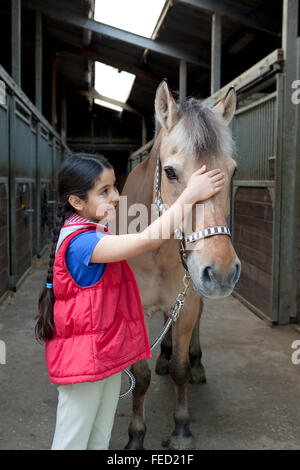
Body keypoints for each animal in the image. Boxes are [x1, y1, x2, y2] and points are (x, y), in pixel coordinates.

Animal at [119, 81, 241, 452]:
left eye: (232, 171)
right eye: (171, 172)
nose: (222, 271)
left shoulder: (187, 303)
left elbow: (180, 369)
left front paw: (182, 429)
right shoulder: (136, 311)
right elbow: (141, 376)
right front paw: (136, 436)